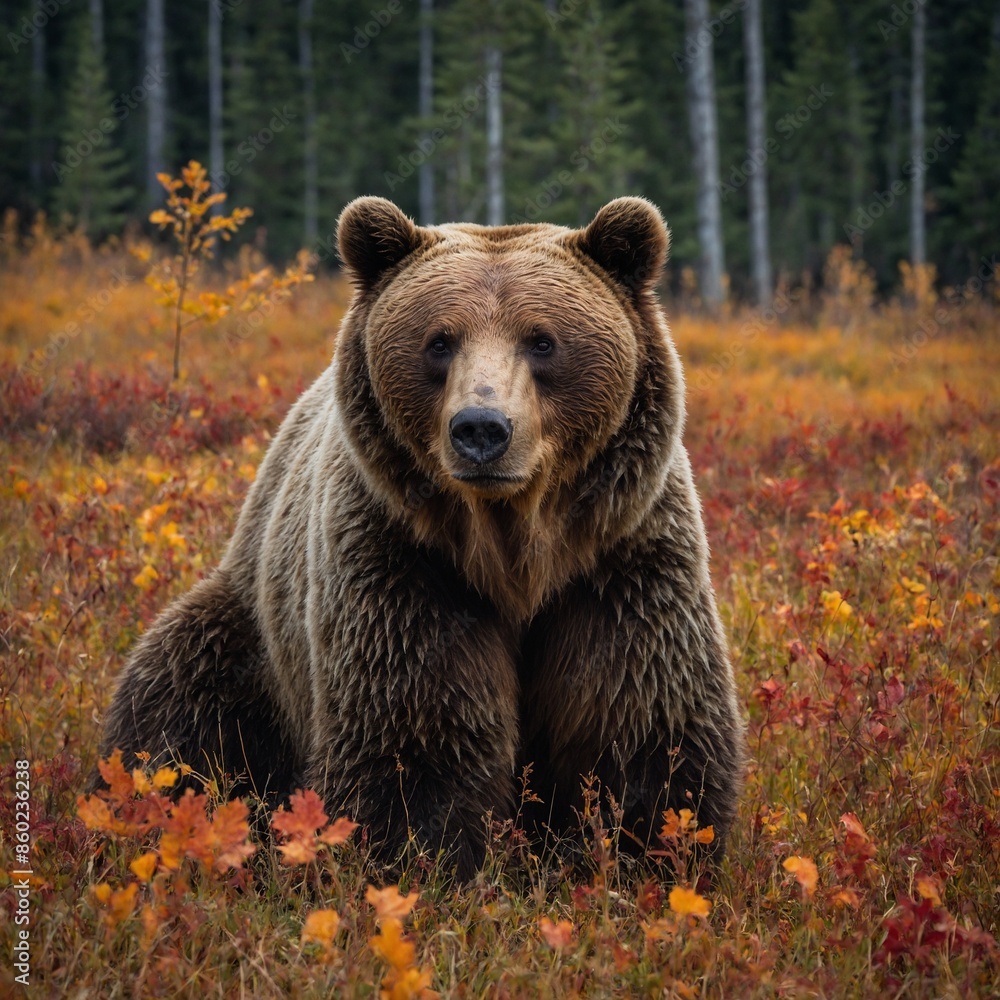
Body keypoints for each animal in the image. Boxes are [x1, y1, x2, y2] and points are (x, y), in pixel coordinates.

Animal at [97, 195, 745, 879]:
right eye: (439, 341)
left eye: (542, 340)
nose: (482, 428)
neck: (513, 547)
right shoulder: (402, 562)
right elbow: (418, 731)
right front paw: (426, 858)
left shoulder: (621, 564)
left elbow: (640, 721)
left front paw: (645, 852)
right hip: (249, 634)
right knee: (176, 706)